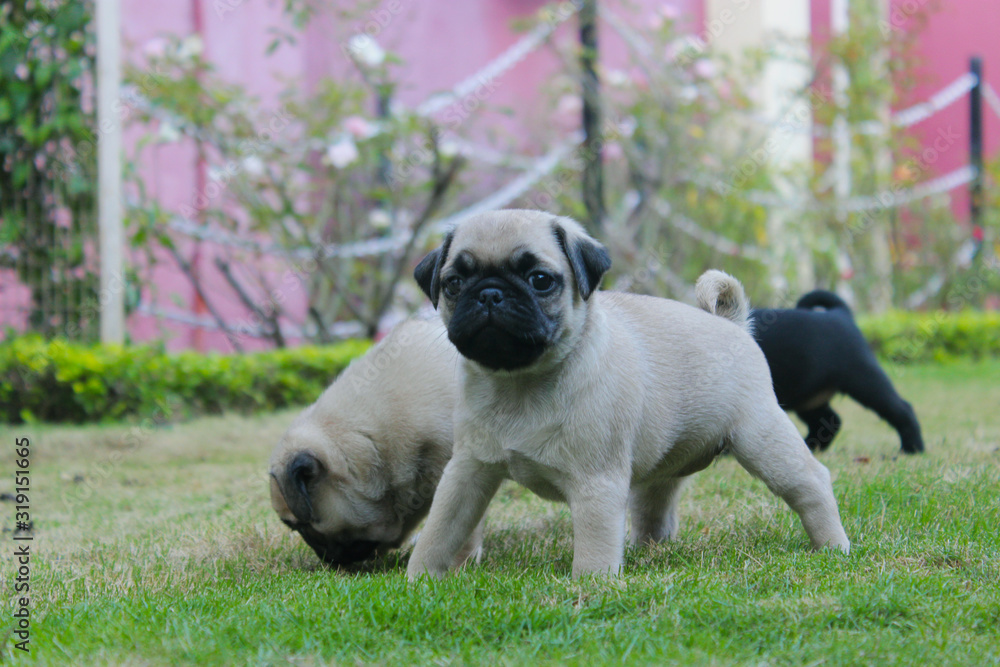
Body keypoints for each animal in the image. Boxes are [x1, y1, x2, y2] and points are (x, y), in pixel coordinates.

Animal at [406, 210, 852, 580]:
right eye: (453, 283)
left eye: (540, 280)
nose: (489, 294)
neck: (519, 382)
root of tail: (733, 325)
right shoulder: (467, 471)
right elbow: (441, 529)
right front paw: (420, 580)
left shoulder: (596, 483)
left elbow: (594, 545)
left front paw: (592, 588)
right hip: (664, 466)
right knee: (656, 506)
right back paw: (647, 550)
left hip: (761, 437)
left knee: (810, 483)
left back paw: (832, 546)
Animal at [752, 292, 920, 454]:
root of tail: (840, 313)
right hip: (807, 398)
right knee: (830, 421)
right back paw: (811, 446)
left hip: (865, 381)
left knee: (902, 409)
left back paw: (912, 448)